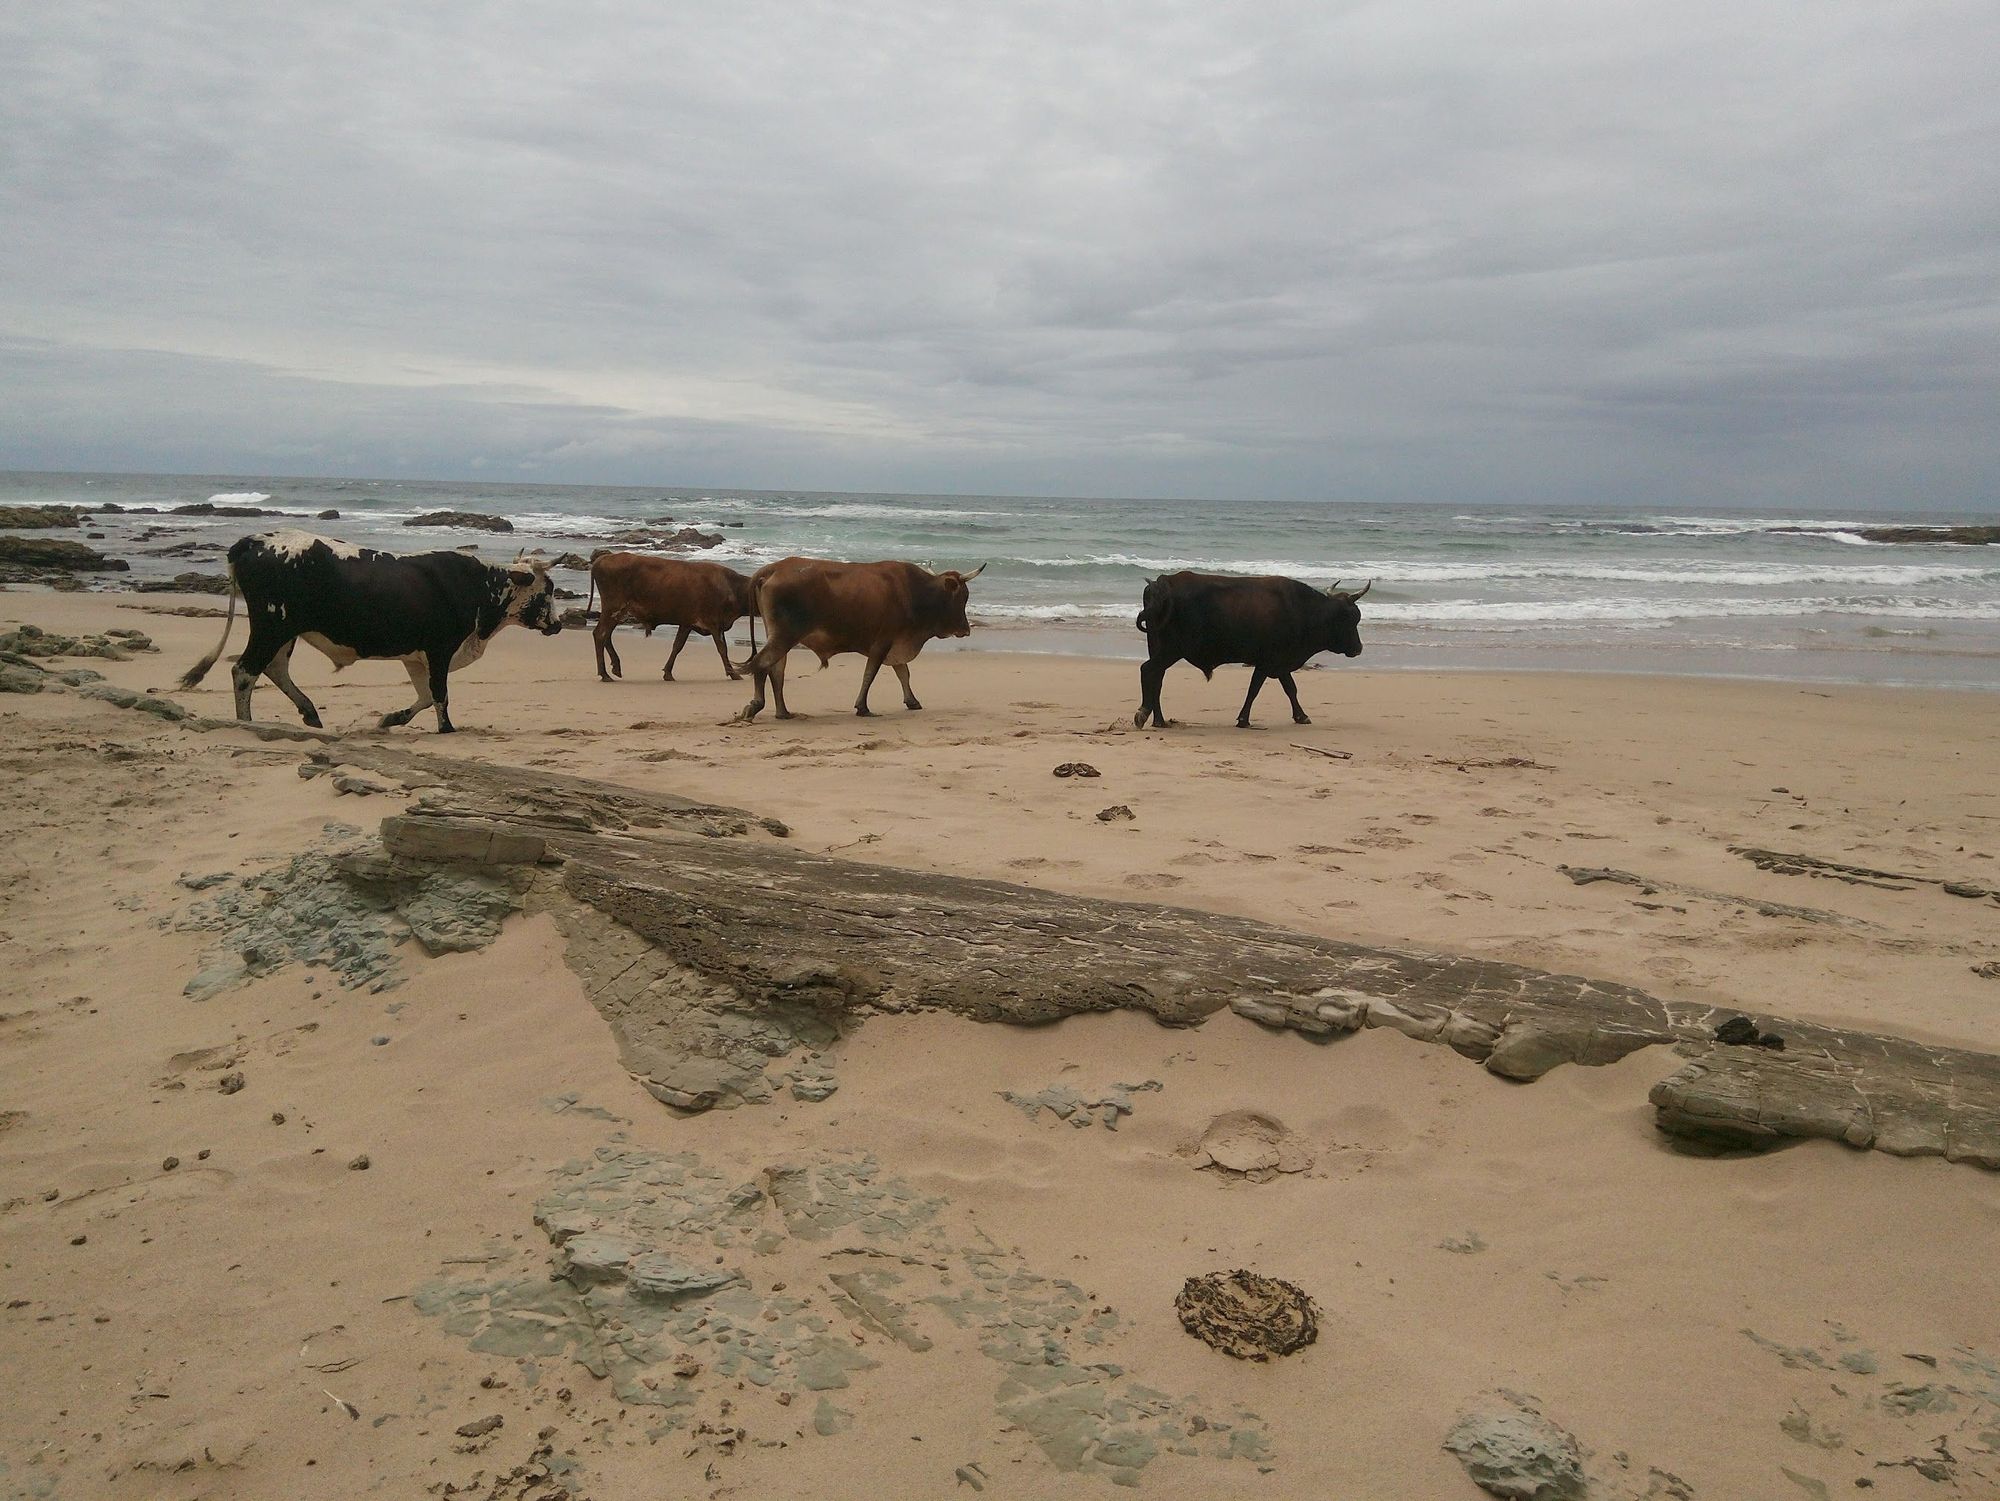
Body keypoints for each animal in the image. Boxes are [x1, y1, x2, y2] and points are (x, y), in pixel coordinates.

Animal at [179, 536, 560, 736]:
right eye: (549, 588)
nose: (557, 625)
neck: (479, 587)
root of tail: (254, 541)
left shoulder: (416, 657)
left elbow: (424, 696)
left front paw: (391, 719)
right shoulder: (439, 650)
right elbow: (440, 696)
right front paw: (447, 729)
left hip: (284, 631)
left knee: (273, 669)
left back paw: (309, 714)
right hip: (272, 627)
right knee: (245, 671)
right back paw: (246, 723)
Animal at [588, 556, 760, 684]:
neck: (731, 587)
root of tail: (603, 558)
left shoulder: (687, 623)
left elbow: (677, 646)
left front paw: (668, 673)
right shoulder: (713, 623)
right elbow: (722, 649)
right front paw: (733, 673)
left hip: (616, 611)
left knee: (606, 636)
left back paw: (615, 668)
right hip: (613, 608)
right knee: (600, 634)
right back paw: (604, 674)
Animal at [736, 560, 984, 724]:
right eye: (963, 596)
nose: (966, 629)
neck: (914, 592)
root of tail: (773, 568)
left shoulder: (895, 642)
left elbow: (903, 673)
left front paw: (912, 701)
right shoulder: (882, 643)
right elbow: (870, 674)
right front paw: (863, 707)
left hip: (779, 636)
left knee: (776, 670)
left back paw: (783, 712)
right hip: (784, 636)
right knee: (762, 665)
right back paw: (755, 707)